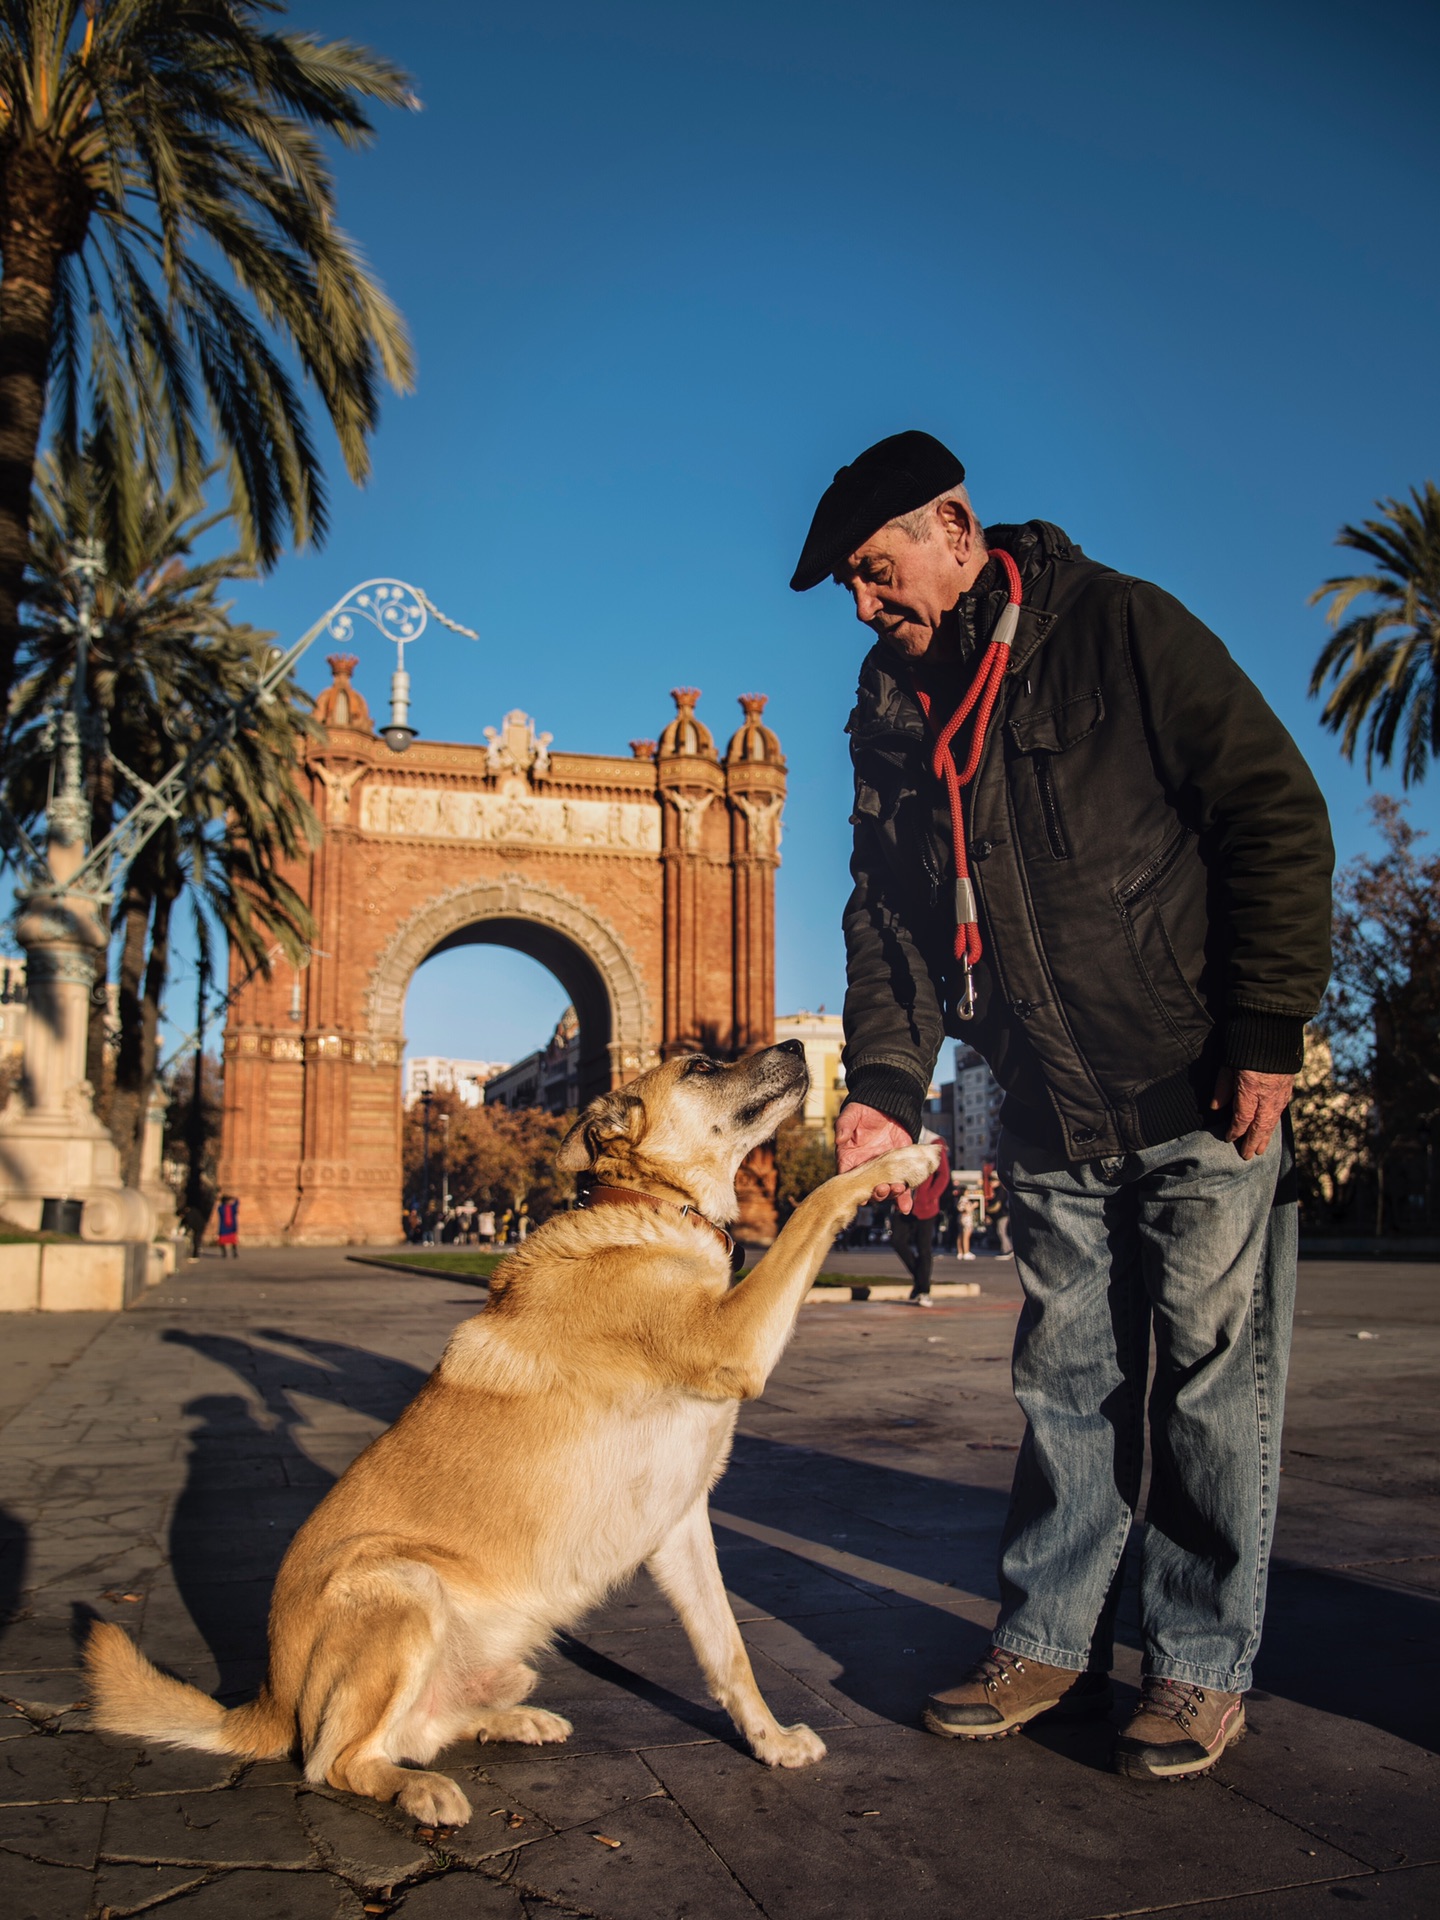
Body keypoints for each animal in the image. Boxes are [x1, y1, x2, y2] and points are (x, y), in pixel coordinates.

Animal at [93, 1052, 948, 1827]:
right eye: (702, 1065)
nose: (799, 1046)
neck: (653, 1210)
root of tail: (268, 1698)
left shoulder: (680, 1528)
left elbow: (727, 1650)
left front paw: (768, 1741)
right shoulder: (734, 1338)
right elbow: (816, 1206)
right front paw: (901, 1158)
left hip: (495, 1658)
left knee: (417, 1730)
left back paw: (513, 1724)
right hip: (403, 1588)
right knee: (333, 1759)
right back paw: (419, 1793)